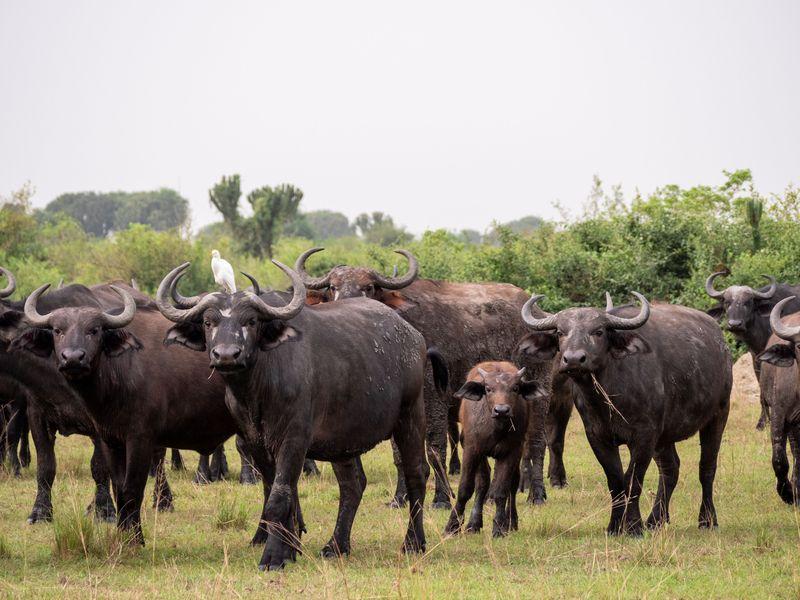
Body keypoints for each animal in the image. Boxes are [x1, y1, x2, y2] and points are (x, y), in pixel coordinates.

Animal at [157, 260, 432, 568]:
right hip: (344, 440)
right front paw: (289, 548)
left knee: (417, 473)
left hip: (411, 417)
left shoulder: (294, 440)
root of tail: (413, 337)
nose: (226, 355)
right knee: (353, 485)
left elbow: (280, 496)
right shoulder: (256, 442)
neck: (258, 389)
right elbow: (275, 491)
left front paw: (273, 556)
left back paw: (413, 542)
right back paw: (336, 545)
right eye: (208, 322)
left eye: (251, 321)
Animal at [294, 248, 564, 506]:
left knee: (536, 443)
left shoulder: (435, 399)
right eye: (333, 287)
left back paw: (537, 494)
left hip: (538, 394)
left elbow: (435, 448)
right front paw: (399, 498)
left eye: (368, 287)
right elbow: (400, 454)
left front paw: (441, 499)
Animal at [520, 292, 732, 532]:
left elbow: (633, 480)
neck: (609, 396)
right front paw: (614, 525)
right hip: (665, 435)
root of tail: (719, 339)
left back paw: (707, 520)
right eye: (559, 332)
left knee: (707, 468)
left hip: (718, 415)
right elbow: (615, 480)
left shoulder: (644, 436)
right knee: (671, 469)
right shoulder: (598, 437)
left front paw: (633, 527)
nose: (573, 359)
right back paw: (656, 520)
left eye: (599, 331)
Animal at [708, 272, 800, 432]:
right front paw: (762, 423)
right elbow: (761, 390)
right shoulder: (756, 358)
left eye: (748, 302)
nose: (735, 324)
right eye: (727, 302)